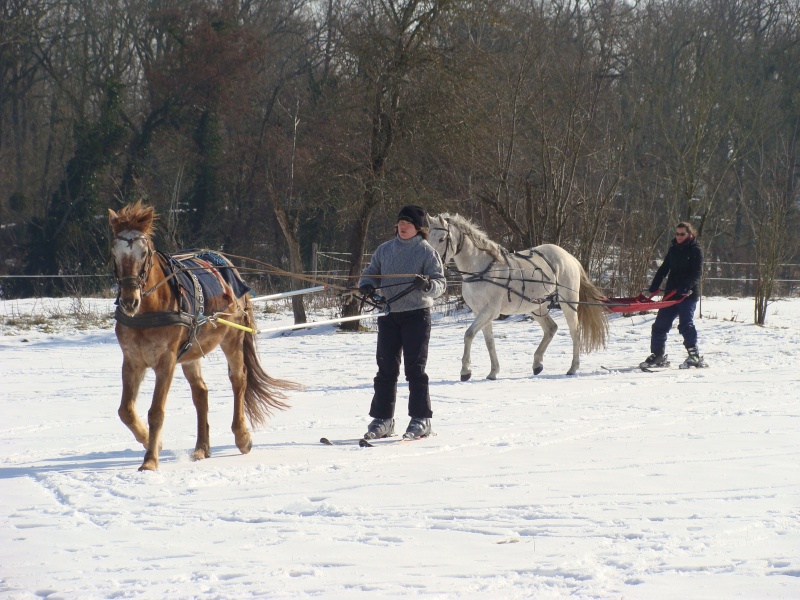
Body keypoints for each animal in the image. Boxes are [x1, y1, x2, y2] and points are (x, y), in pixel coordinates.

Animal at [108, 204, 298, 472]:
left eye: (144, 253)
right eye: (114, 253)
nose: (129, 301)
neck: (150, 310)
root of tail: (228, 264)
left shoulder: (166, 362)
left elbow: (156, 412)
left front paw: (150, 460)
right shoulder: (132, 361)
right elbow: (125, 411)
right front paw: (151, 442)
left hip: (232, 339)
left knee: (239, 380)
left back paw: (242, 436)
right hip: (191, 353)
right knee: (201, 393)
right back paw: (201, 447)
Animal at [432, 213, 608, 378]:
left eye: (442, 239)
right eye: (428, 237)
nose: (435, 262)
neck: (482, 270)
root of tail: (569, 257)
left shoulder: (490, 311)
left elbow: (469, 335)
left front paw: (465, 371)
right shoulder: (479, 312)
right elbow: (489, 341)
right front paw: (493, 371)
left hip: (568, 303)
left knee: (575, 332)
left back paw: (573, 368)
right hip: (536, 306)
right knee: (551, 328)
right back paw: (537, 364)